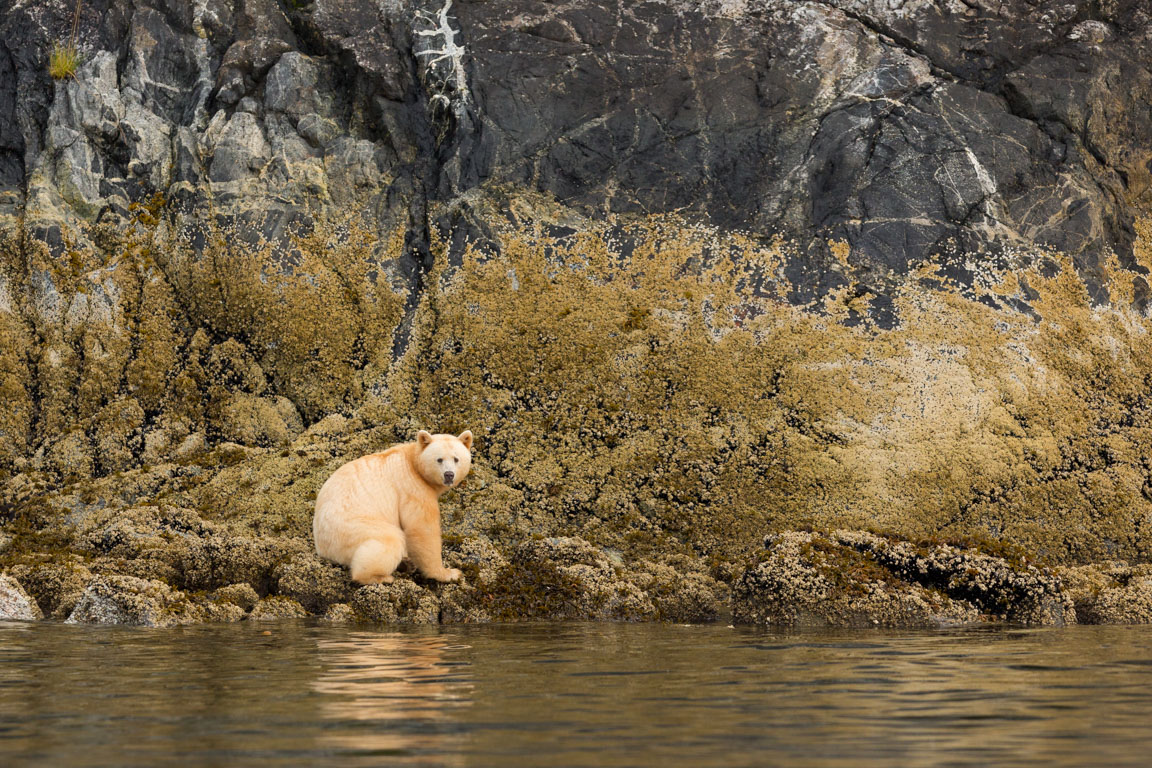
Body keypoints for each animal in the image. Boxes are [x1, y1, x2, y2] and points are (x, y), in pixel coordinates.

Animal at [311, 432, 472, 582]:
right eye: (439, 459)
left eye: (456, 459)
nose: (449, 474)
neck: (413, 463)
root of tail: (323, 548)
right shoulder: (412, 487)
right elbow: (422, 528)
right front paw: (448, 573)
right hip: (350, 529)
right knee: (390, 539)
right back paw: (380, 577)